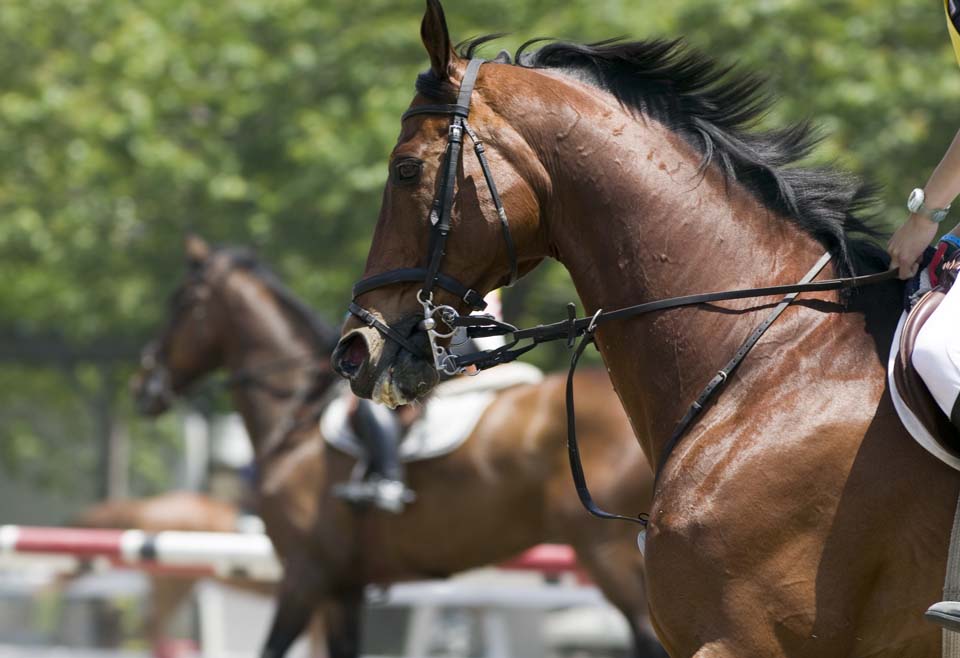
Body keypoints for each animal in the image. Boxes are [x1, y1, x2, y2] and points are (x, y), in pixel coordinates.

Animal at [135, 236, 664, 656]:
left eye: (182, 303)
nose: (146, 384)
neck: (298, 424)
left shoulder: (306, 575)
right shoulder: (343, 587)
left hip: (607, 553)